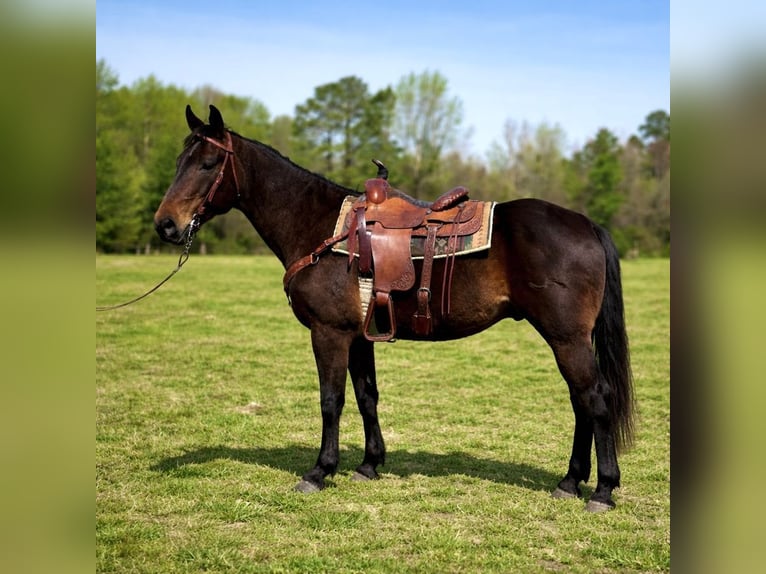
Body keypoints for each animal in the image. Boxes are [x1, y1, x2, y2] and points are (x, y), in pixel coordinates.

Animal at [154, 105, 635, 512]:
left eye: (207, 164)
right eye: (179, 162)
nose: (166, 225)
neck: (321, 228)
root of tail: (586, 224)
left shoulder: (328, 333)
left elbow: (331, 400)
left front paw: (319, 471)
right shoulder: (357, 335)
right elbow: (366, 396)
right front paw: (369, 464)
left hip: (566, 338)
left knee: (594, 397)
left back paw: (603, 490)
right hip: (565, 338)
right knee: (580, 400)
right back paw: (569, 482)